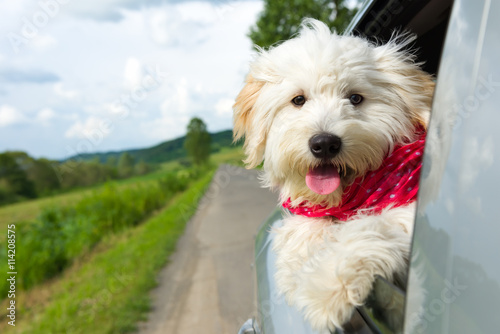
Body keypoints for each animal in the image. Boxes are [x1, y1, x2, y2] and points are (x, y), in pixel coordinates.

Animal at [233, 19, 434, 332]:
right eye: (298, 100)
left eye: (355, 98)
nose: (324, 143)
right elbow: (302, 230)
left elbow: (368, 226)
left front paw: (327, 288)